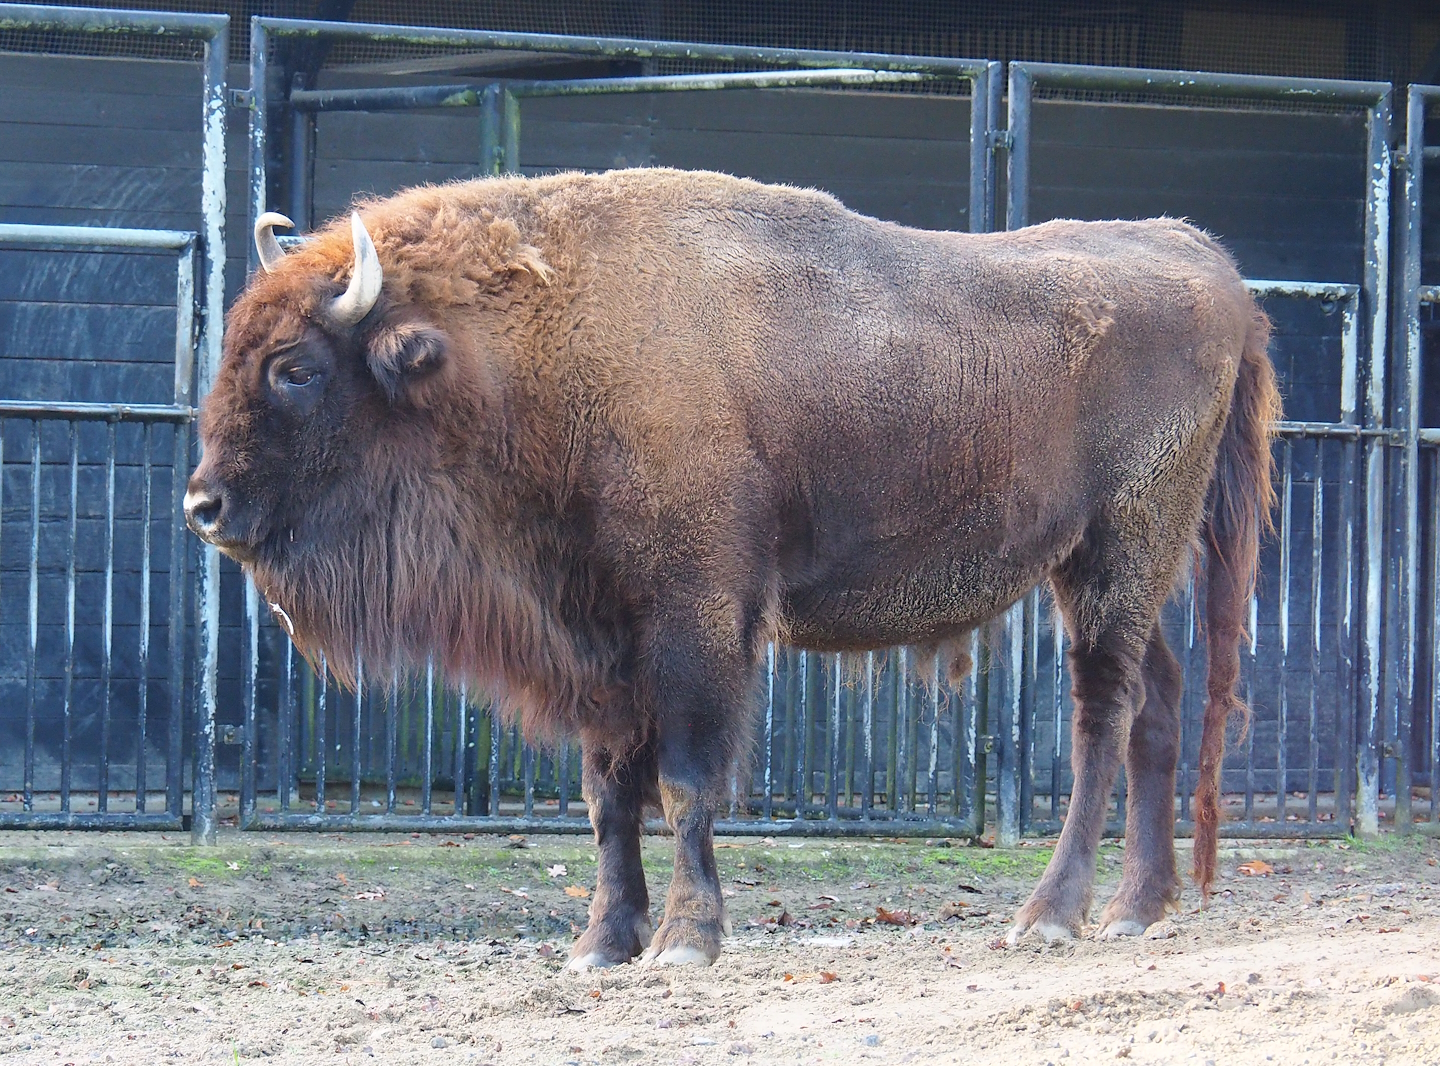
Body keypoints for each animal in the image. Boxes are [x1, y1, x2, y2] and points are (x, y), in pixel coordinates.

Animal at [186, 168, 1278, 965]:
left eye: (296, 368)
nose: (204, 508)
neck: (534, 340)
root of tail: (1207, 264)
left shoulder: (696, 618)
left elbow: (684, 781)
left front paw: (686, 939)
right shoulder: (598, 635)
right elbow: (607, 793)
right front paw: (602, 943)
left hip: (1118, 552)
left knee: (1103, 717)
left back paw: (1051, 914)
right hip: (1122, 567)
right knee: (1158, 704)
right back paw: (1139, 908)